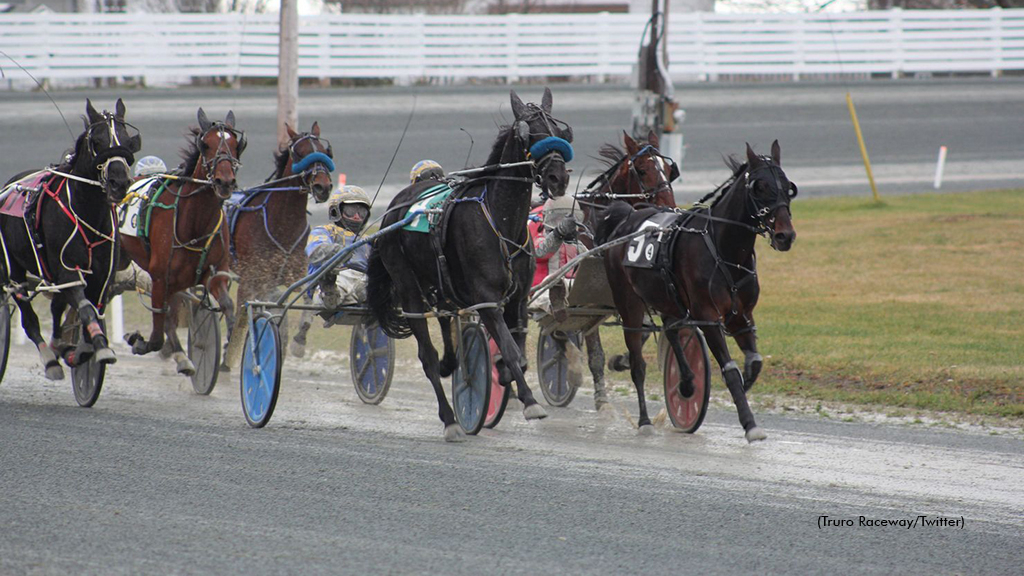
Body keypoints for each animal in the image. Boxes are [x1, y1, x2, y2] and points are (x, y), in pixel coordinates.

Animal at [0, 98, 140, 377]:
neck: (88, 211)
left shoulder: (101, 275)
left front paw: (84, 348)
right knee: (28, 314)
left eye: (127, 141)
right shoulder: (68, 271)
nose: (119, 182)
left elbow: (92, 308)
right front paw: (99, 348)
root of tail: (10, 185)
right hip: (14, 269)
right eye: (97, 141)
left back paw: (57, 346)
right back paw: (50, 359)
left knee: (56, 306)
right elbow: (85, 308)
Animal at [119, 109, 243, 375]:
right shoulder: (160, 277)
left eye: (235, 145)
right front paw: (139, 341)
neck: (194, 222)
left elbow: (228, 306)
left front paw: (229, 347)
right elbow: (157, 332)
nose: (225, 181)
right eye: (206, 145)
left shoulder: (213, 273)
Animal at [222, 122, 333, 368]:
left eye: (324, 151)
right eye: (300, 153)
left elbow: (308, 302)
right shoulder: (251, 279)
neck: (283, 224)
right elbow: (244, 319)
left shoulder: (296, 273)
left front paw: (299, 342)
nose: (323, 186)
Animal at [370, 88, 577, 438]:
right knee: (427, 355)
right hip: (408, 286)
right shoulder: (487, 299)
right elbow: (510, 349)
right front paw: (530, 402)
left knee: (445, 322)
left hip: (441, 286)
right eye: (530, 134)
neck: (500, 220)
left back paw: (452, 366)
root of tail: (395, 207)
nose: (557, 177)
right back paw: (450, 419)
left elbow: (517, 352)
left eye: (561, 133)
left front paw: (502, 372)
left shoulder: (517, 298)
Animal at [593, 141, 798, 440]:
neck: (724, 250)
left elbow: (755, 362)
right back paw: (644, 421)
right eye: (759, 186)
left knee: (671, 331)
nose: (785, 235)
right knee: (638, 363)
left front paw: (744, 384)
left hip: (667, 298)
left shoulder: (742, 317)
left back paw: (687, 383)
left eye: (787, 186)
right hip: (628, 303)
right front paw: (750, 424)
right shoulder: (708, 316)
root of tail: (627, 217)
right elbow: (730, 370)